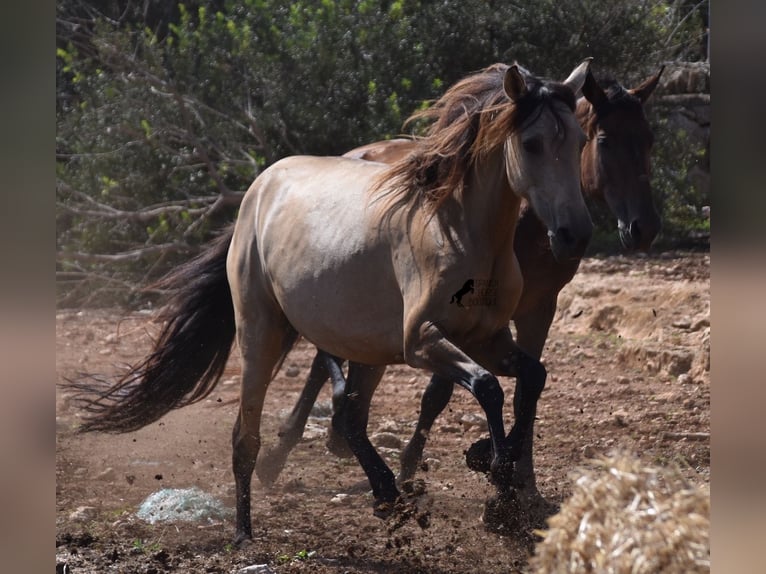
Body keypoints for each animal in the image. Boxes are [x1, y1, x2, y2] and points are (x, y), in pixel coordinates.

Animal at [74, 60, 593, 544]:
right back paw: (245, 532)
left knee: (351, 415)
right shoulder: (422, 342)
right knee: (250, 434)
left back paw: (386, 493)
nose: (573, 235)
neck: (456, 227)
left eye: (578, 141)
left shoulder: (487, 337)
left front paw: (494, 471)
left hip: (366, 348)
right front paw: (496, 474)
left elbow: (531, 376)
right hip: (262, 334)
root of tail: (259, 188)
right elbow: (487, 386)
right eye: (532, 144)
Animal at [254, 66, 665, 517]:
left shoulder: (536, 311)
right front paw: (422, 465)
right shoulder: (448, 323)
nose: (644, 228)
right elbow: (444, 392)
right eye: (604, 140)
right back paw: (284, 453)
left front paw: (520, 479)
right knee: (323, 358)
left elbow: (529, 387)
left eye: (648, 140)